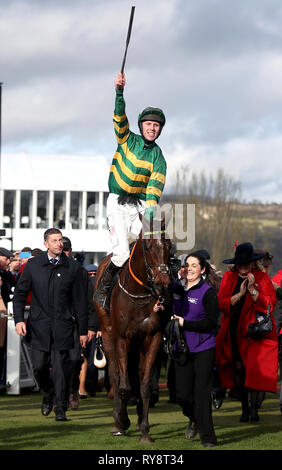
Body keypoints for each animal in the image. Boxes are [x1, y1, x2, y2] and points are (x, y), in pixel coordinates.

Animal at [94, 217, 172, 444]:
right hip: (109, 334)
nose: (163, 283)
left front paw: (145, 431)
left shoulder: (153, 336)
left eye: (169, 245)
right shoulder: (122, 337)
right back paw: (117, 419)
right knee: (115, 374)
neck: (139, 294)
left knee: (136, 374)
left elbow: (145, 384)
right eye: (147, 247)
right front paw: (121, 421)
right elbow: (123, 385)